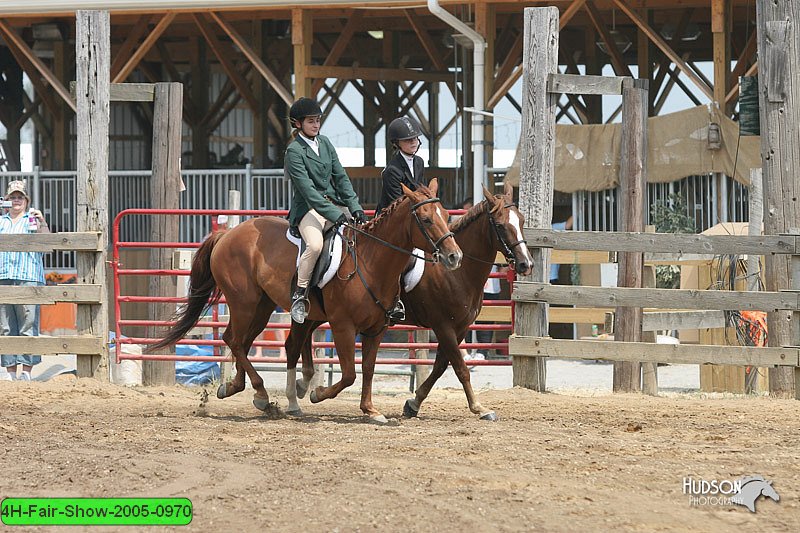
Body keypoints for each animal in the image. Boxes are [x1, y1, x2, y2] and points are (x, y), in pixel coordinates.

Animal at [152, 181, 462, 422]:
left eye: (446, 214)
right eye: (426, 219)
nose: (454, 256)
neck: (371, 262)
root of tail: (227, 233)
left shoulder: (375, 330)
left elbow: (368, 370)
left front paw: (370, 410)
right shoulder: (343, 326)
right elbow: (348, 374)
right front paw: (316, 393)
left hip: (262, 307)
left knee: (243, 342)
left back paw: (240, 390)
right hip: (244, 304)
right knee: (234, 340)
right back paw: (261, 393)